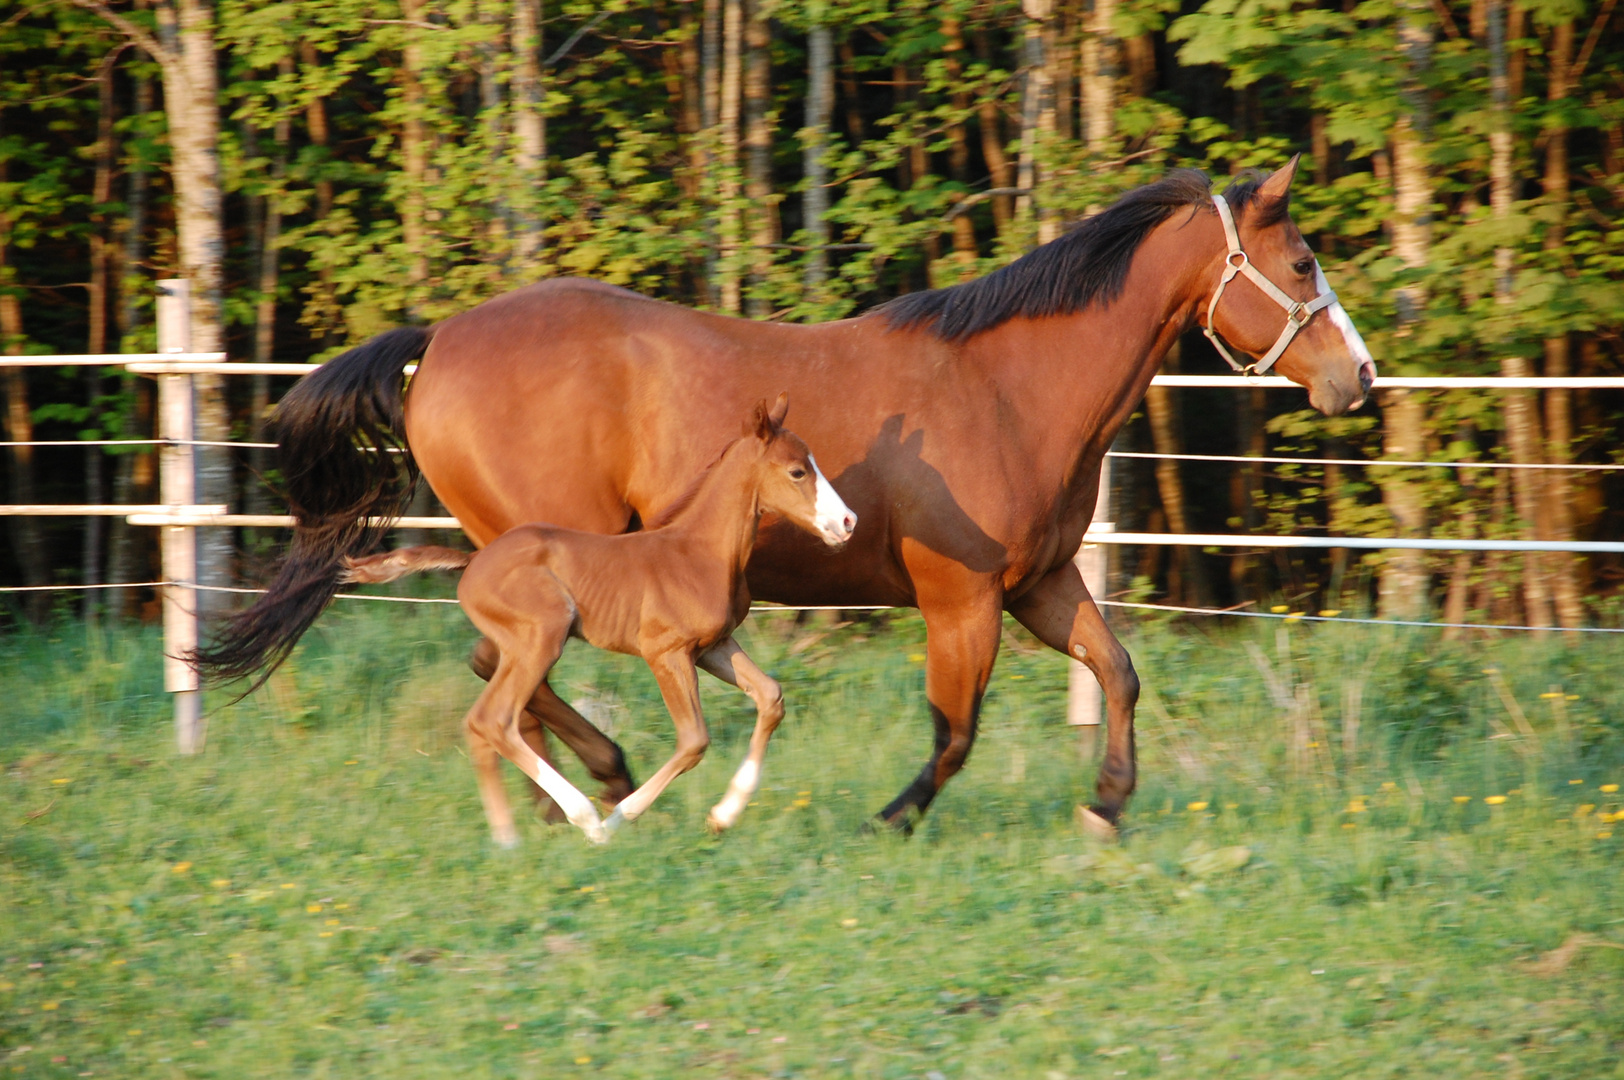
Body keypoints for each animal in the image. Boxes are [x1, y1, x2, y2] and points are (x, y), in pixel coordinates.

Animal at [342, 396, 850, 844]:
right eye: (798, 471)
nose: (848, 522)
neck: (698, 552)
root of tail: (473, 562)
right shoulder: (665, 652)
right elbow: (693, 741)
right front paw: (619, 819)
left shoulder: (715, 647)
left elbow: (770, 697)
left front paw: (722, 815)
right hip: (542, 638)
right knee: (494, 719)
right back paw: (585, 820)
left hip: (521, 647)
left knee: (482, 726)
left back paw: (507, 839)